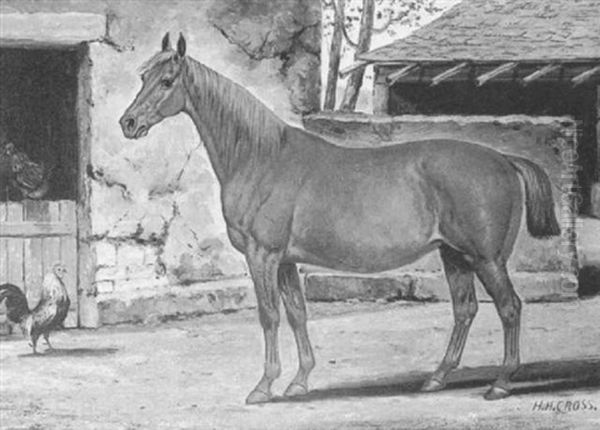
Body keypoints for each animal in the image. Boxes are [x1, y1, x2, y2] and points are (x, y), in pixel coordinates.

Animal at [119, 32, 560, 404]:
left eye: (167, 80)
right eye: (142, 76)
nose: (128, 123)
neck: (262, 157)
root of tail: (503, 158)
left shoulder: (263, 256)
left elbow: (268, 315)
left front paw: (263, 387)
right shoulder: (286, 261)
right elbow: (297, 314)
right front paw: (299, 381)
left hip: (487, 259)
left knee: (509, 308)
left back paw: (501, 383)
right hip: (454, 255)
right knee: (465, 310)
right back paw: (437, 378)